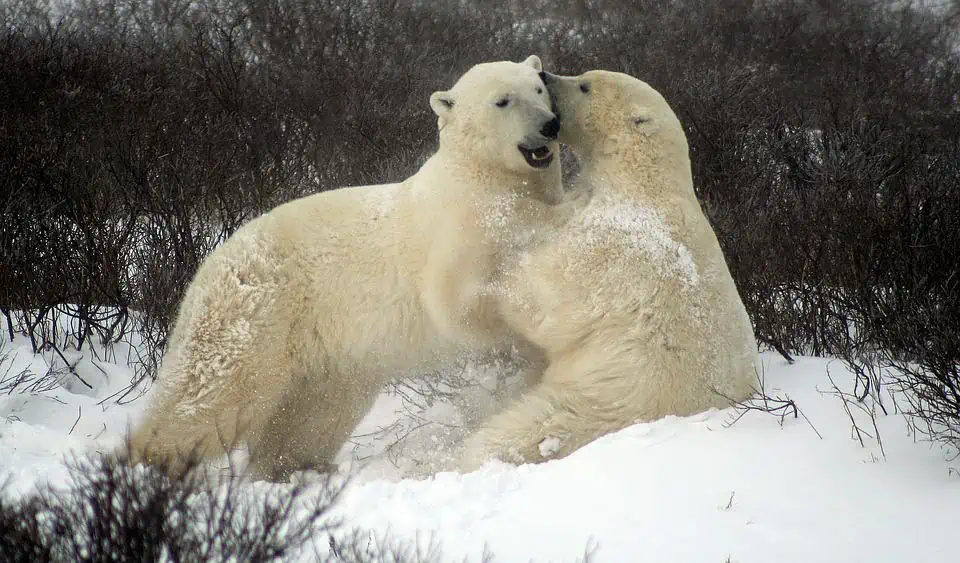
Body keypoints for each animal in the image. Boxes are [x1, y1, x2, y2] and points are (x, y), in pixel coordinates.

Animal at [124, 55, 580, 482]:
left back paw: (293, 467)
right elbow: (458, 304)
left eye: (539, 88)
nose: (549, 125)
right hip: (256, 312)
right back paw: (152, 464)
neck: (482, 177)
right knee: (213, 391)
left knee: (315, 416)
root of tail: (210, 262)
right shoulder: (458, 230)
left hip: (329, 358)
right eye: (503, 100)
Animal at [458, 69, 759, 470]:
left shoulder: (614, 244)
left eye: (585, 84)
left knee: (524, 430)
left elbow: (547, 298)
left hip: (599, 400)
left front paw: (497, 275)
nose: (545, 75)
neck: (643, 183)